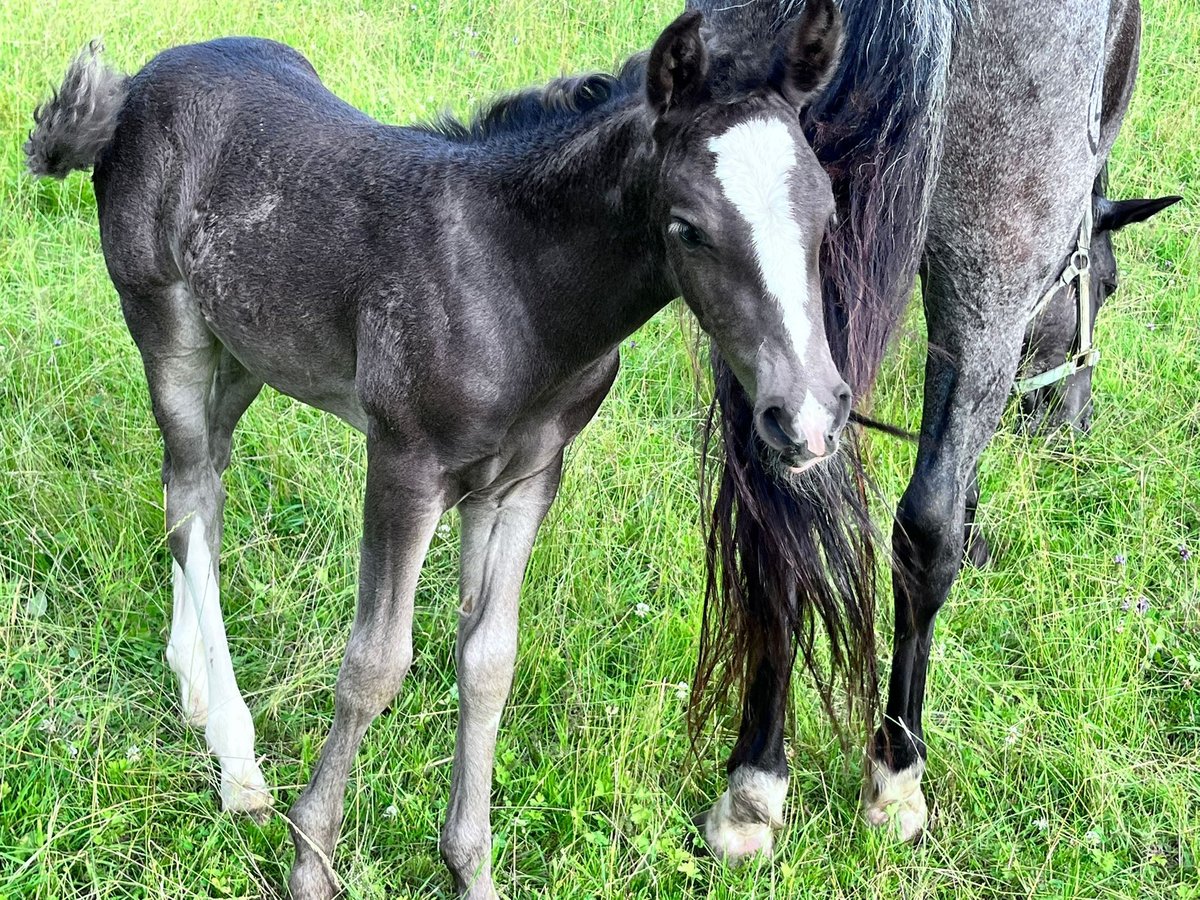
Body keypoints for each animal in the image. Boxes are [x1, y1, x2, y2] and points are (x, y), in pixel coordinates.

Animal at [25, 5, 854, 897]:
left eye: (828, 213)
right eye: (688, 228)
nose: (808, 417)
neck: (515, 288)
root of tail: (142, 81)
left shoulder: (524, 483)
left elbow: (489, 663)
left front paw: (469, 867)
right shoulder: (405, 468)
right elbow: (374, 665)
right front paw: (311, 860)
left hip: (246, 350)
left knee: (203, 485)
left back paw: (196, 691)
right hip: (166, 322)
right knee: (186, 493)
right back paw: (238, 758)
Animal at [691, 0, 1176, 868]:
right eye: (1111, 284)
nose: (1072, 426)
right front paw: (978, 531)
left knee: (775, 523)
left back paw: (754, 785)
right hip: (991, 264)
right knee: (924, 532)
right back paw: (896, 776)